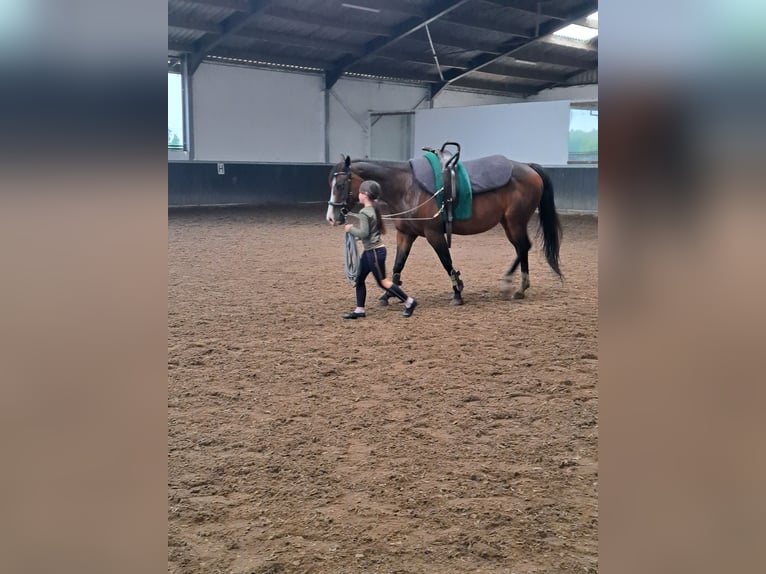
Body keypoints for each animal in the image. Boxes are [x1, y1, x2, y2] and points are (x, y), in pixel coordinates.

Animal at [326, 153, 564, 306]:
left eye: (340, 185)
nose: (331, 217)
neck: (407, 187)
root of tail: (529, 167)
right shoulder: (405, 234)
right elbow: (398, 264)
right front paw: (388, 295)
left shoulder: (434, 234)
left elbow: (446, 261)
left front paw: (457, 292)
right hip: (508, 222)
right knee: (521, 248)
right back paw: (518, 286)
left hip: (515, 222)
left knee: (523, 247)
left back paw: (516, 286)